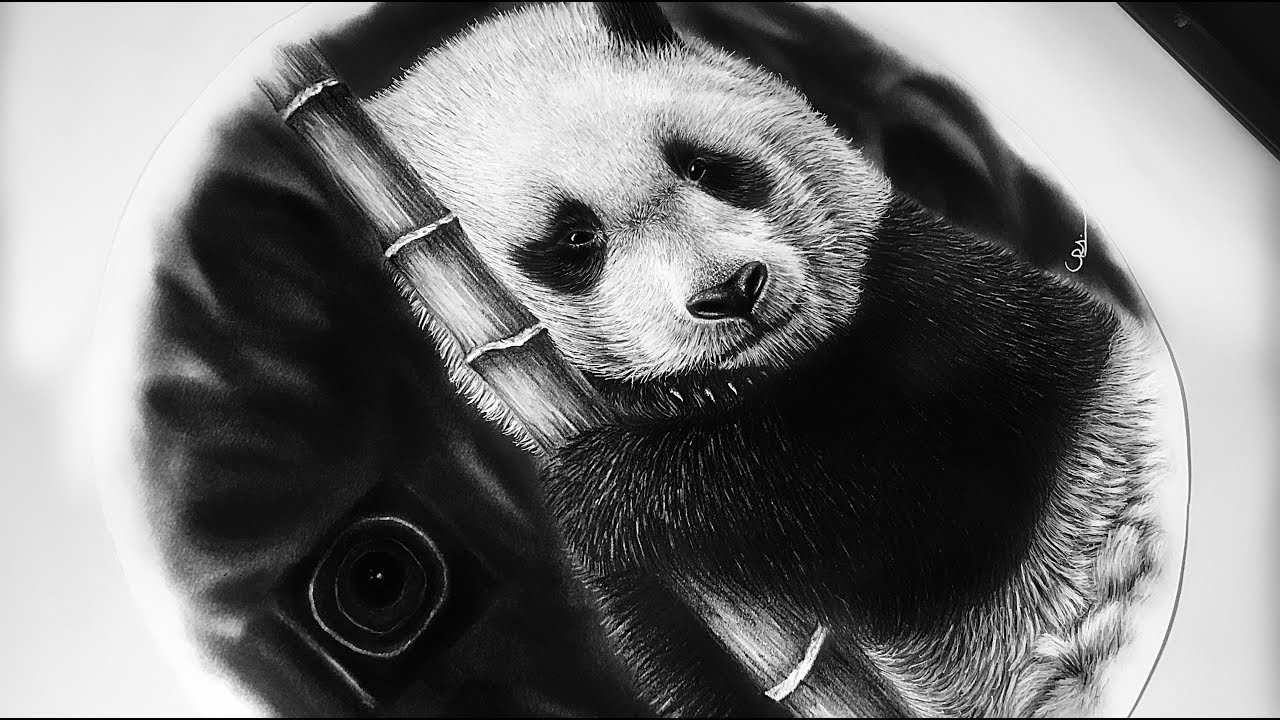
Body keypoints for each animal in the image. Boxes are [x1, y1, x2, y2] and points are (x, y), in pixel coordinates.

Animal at [362, 2, 1168, 717]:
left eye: (705, 167)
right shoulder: (661, 606)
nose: (732, 290)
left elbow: (913, 469)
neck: (768, 374)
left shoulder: (952, 306)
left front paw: (611, 487)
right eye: (575, 240)